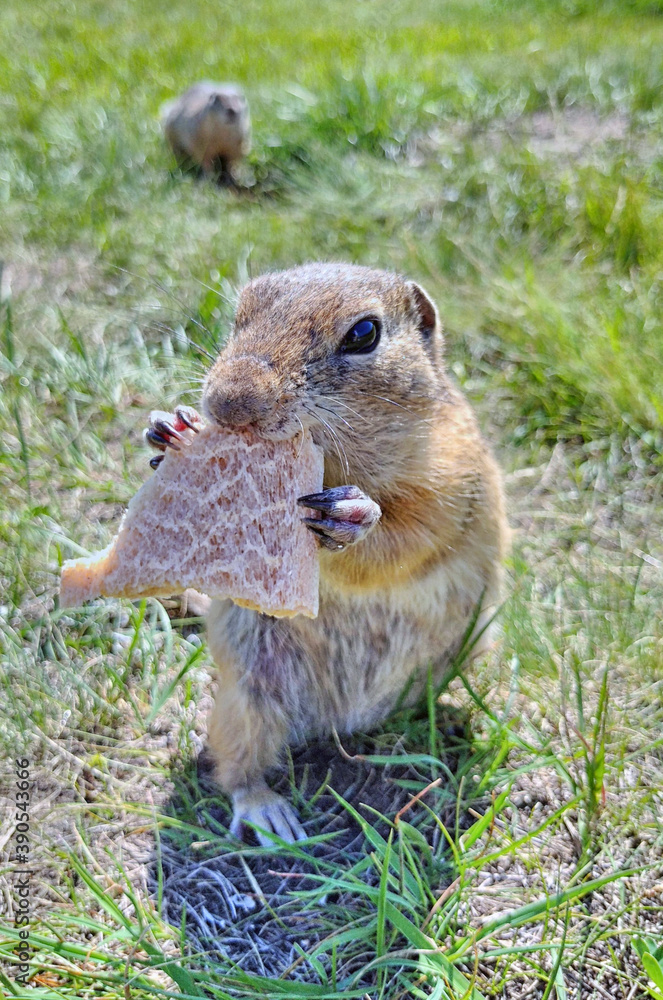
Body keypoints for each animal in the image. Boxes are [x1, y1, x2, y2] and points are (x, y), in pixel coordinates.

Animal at [145, 266, 508, 844]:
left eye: (364, 333)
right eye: (240, 313)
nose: (227, 405)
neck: (332, 458)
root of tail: (345, 722)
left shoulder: (453, 475)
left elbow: (409, 534)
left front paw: (353, 515)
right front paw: (170, 428)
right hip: (245, 697)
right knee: (237, 765)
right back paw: (268, 813)